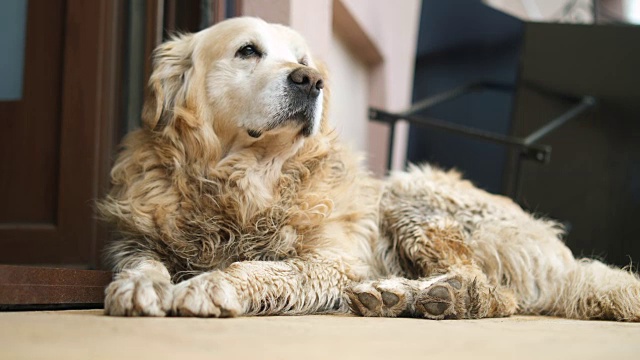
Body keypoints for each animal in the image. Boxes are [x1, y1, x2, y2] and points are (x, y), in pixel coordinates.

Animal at [100, 16, 640, 320]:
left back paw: (413, 294)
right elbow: (140, 260)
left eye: (302, 59)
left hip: (411, 193)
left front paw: (210, 284)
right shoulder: (136, 238)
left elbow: (261, 268)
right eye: (247, 51)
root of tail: (569, 262)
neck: (245, 182)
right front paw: (141, 286)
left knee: (490, 289)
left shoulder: (335, 262)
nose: (310, 80)